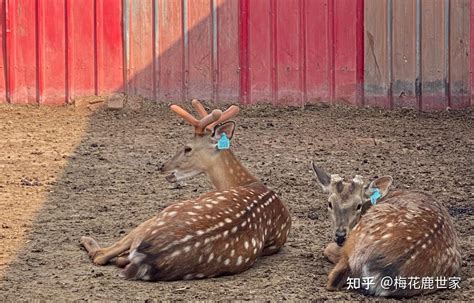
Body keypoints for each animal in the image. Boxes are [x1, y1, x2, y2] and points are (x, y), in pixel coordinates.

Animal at [80, 100, 292, 282]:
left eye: (187, 148)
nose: (162, 167)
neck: (245, 182)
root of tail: (149, 257)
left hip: (163, 213)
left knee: (102, 256)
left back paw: (86, 238)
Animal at [312, 164, 462, 300]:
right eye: (330, 203)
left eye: (359, 205)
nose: (340, 236)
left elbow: (327, 249)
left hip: (358, 236)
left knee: (333, 280)